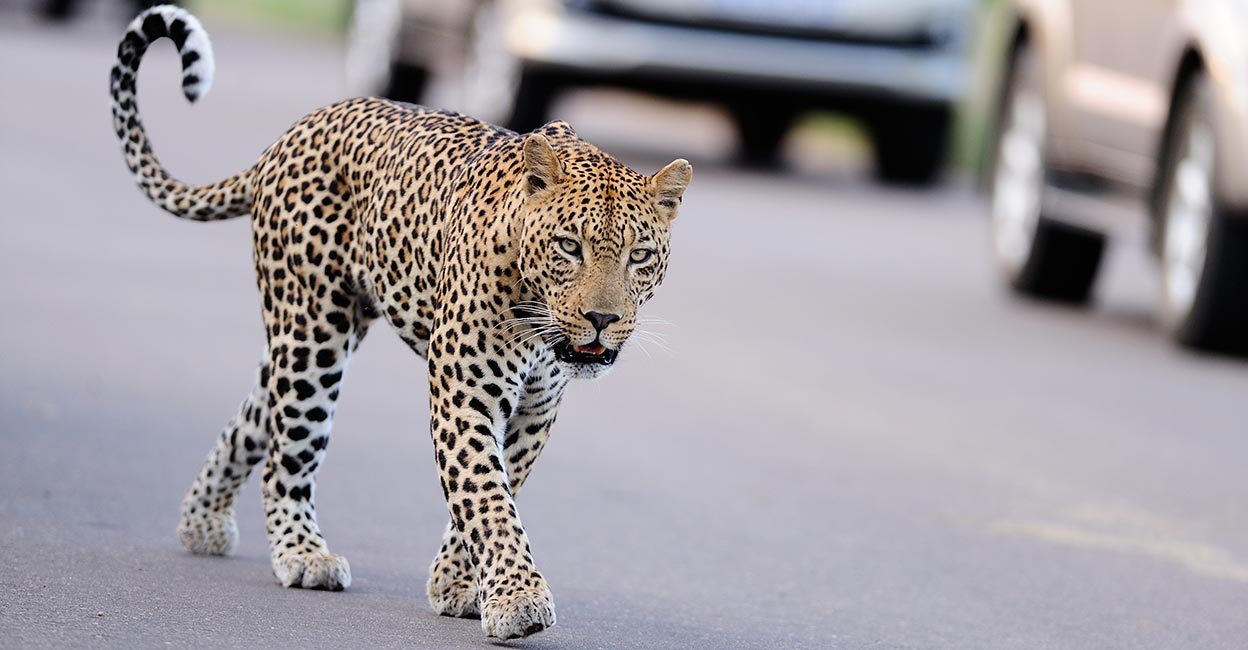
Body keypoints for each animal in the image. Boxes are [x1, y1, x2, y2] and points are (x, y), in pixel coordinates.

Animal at [107, 2, 693, 636]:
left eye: (639, 255)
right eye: (569, 246)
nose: (602, 318)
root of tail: (290, 135)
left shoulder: (536, 408)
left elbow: (489, 492)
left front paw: (457, 586)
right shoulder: (466, 392)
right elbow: (487, 496)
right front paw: (517, 599)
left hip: (303, 333)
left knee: (256, 415)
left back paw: (202, 521)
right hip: (314, 336)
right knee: (287, 453)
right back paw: (302, 554)